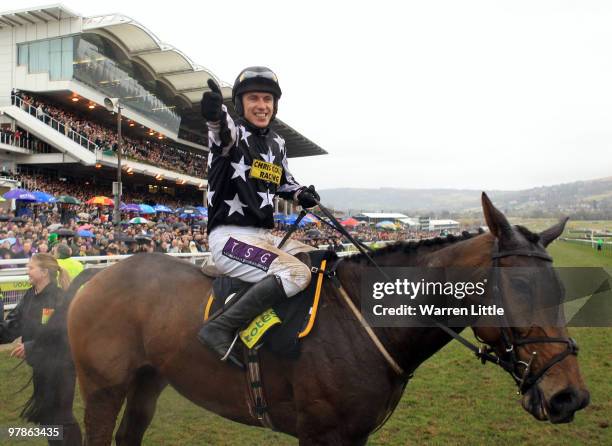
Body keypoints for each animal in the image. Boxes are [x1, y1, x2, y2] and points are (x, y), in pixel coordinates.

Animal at [53, 193, 588, 446]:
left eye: (562, 291)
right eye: (522, 290)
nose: (570, 397)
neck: (364, 324)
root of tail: (96, 277)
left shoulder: (354, 436)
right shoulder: (320, 435)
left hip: (148, 380)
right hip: (103, 387)